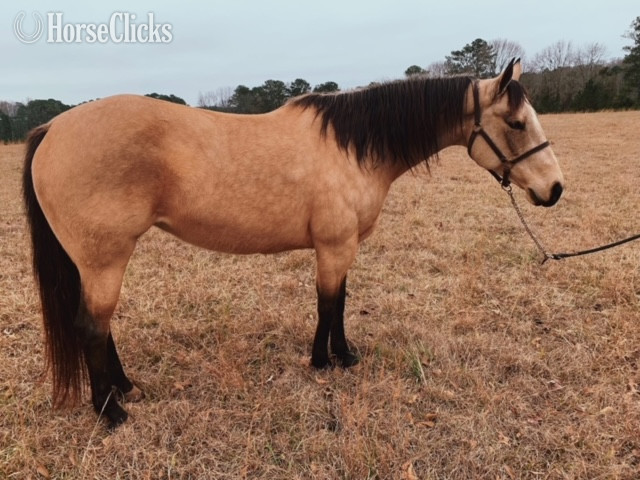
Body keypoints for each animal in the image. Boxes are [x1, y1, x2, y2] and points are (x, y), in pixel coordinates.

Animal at [22, 59, 564, 428]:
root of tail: (54, 128)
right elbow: (327, 303)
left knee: (100, 327)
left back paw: (125, 389)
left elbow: (340, 301)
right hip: (104, 259)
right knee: (91, 327)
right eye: (516, 123)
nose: (554, 189)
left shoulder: (343, 248)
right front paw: (324, 362)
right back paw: (110, 411)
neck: (352, 148)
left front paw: (344, 356)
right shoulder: (334, 245)